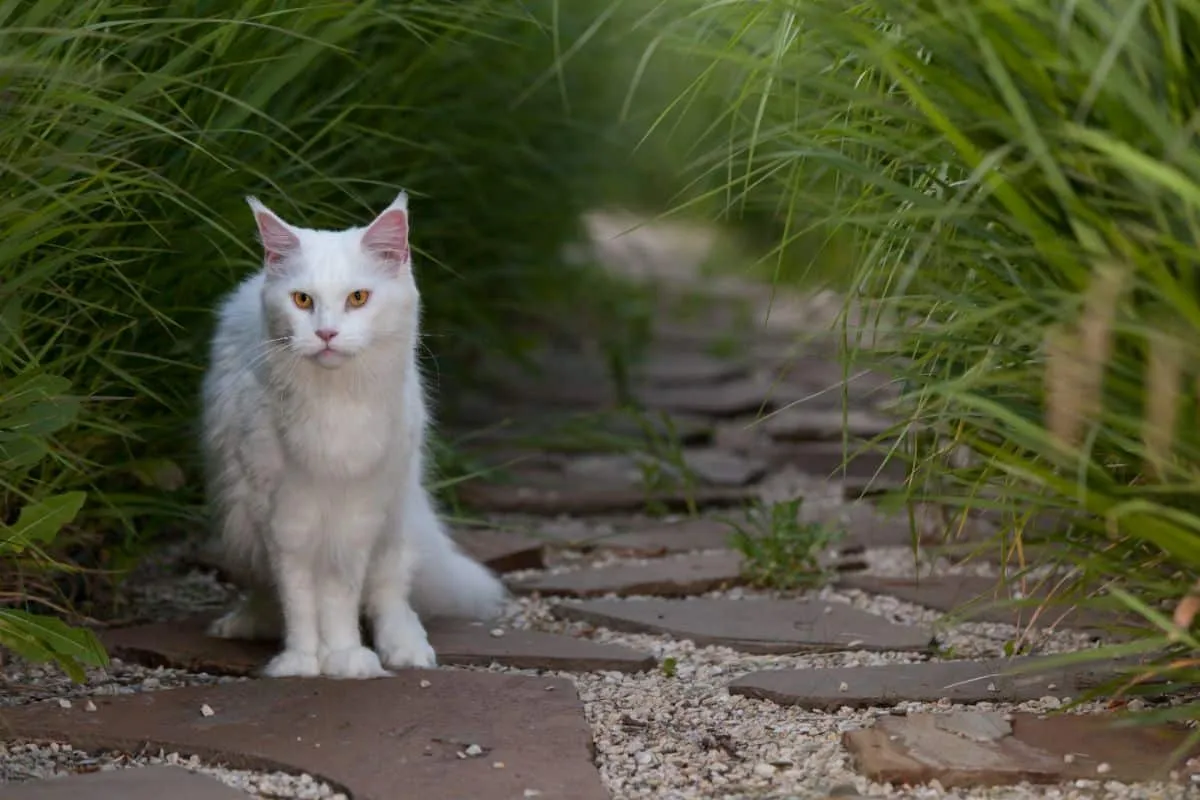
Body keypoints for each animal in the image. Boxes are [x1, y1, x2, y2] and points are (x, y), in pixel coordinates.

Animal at [200, 190, 506, 681]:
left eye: (358, 298)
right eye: (302, 300)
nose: (326, 333)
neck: (333, 404)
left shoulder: (356, 515)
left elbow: (339, 596)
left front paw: (345, 658)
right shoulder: (282, 516)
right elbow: (298, 596)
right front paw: (301, 660)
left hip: (395, 515)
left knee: (391, 593)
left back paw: (406, 648)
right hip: (240, 519)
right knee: (266, 587)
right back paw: (249, 623)